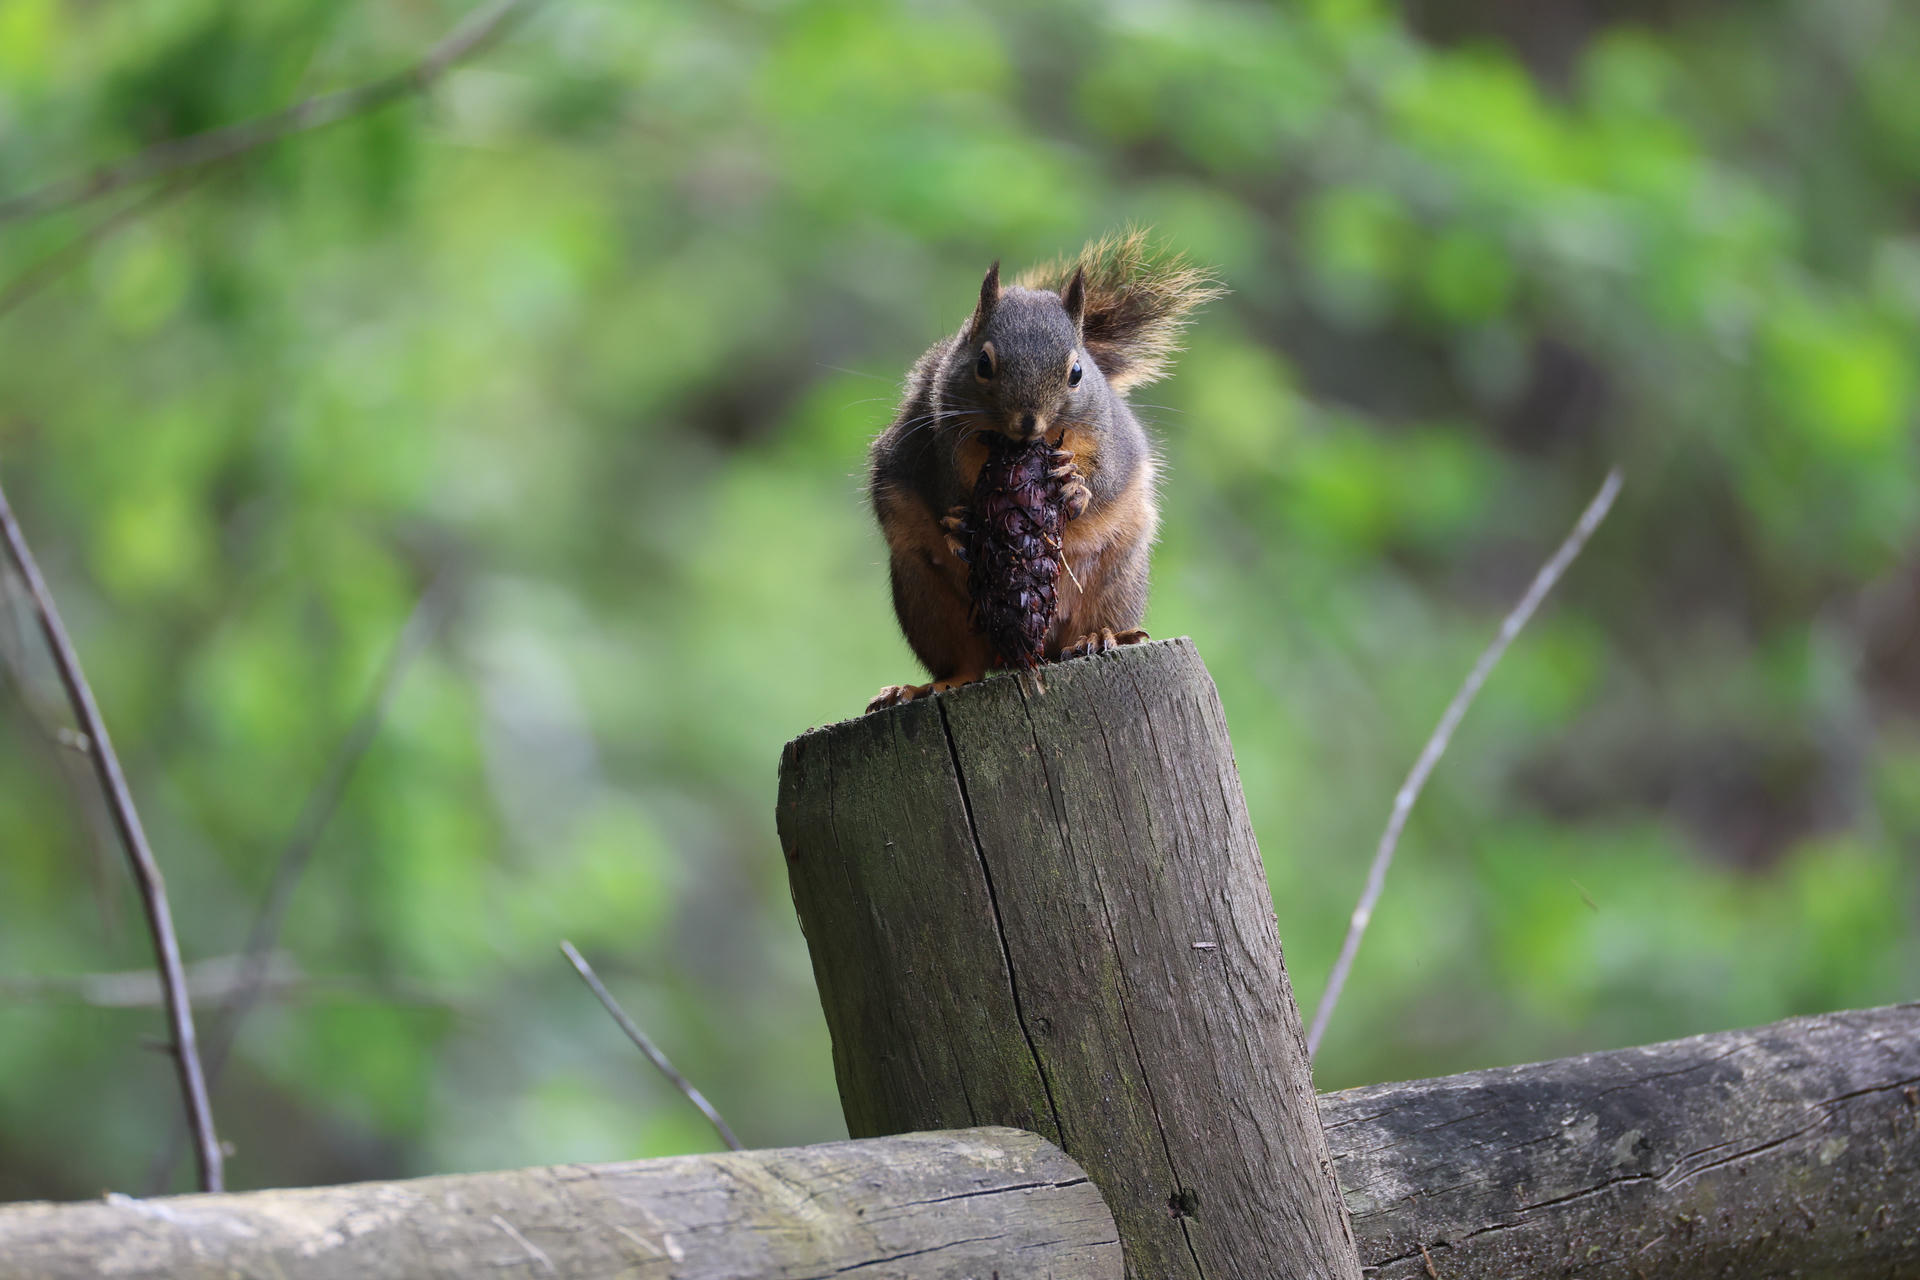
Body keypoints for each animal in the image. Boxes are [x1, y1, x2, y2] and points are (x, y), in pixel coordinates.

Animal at [867, 231, 1223, 710]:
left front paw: (1077, 490)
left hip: (1117, 579)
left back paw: (1101, 637)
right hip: (925, 597)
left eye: (1077, 372)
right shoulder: (937, 437)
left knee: (1094, 621)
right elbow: (942, 486)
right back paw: (929, 685)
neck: (1015, 448)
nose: (1028, 422)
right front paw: (959, 524)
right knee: (964, 662)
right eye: (983, 364)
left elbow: (1106, 477)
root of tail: (1026, 655)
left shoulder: (1110, 437)